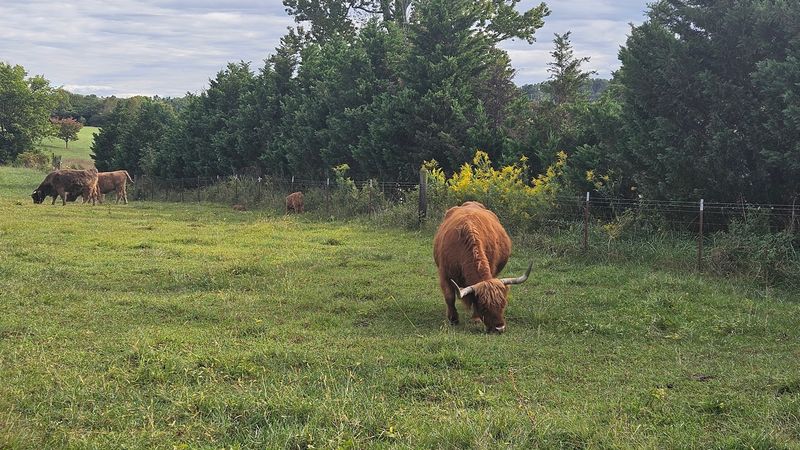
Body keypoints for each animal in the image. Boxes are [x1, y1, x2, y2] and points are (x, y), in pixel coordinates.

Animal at [433, 201, 531, 334]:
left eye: (503, 304)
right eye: (484, 307)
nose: (499, 328)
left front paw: (476, 319)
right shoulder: (444, 273)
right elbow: (449, 297)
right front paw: (453, 319)